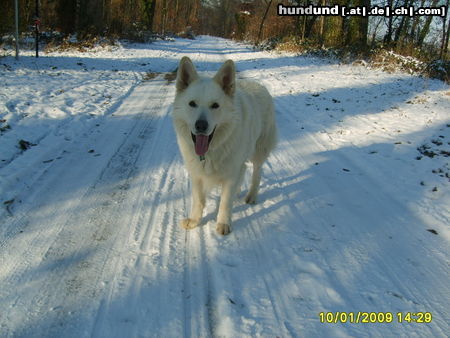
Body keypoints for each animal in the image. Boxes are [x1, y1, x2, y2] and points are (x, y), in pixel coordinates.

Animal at [173, 56, 276, 235]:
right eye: (192, 104)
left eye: (215, 105)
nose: (201, 125)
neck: (210, 151)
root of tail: (259, 85)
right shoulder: (196, 173)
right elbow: (198, 199)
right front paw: (194, 221)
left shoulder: (231, 174)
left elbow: (225, 201)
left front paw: (223, 223)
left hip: (259, 150)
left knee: (257, 172)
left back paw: (251, 195)